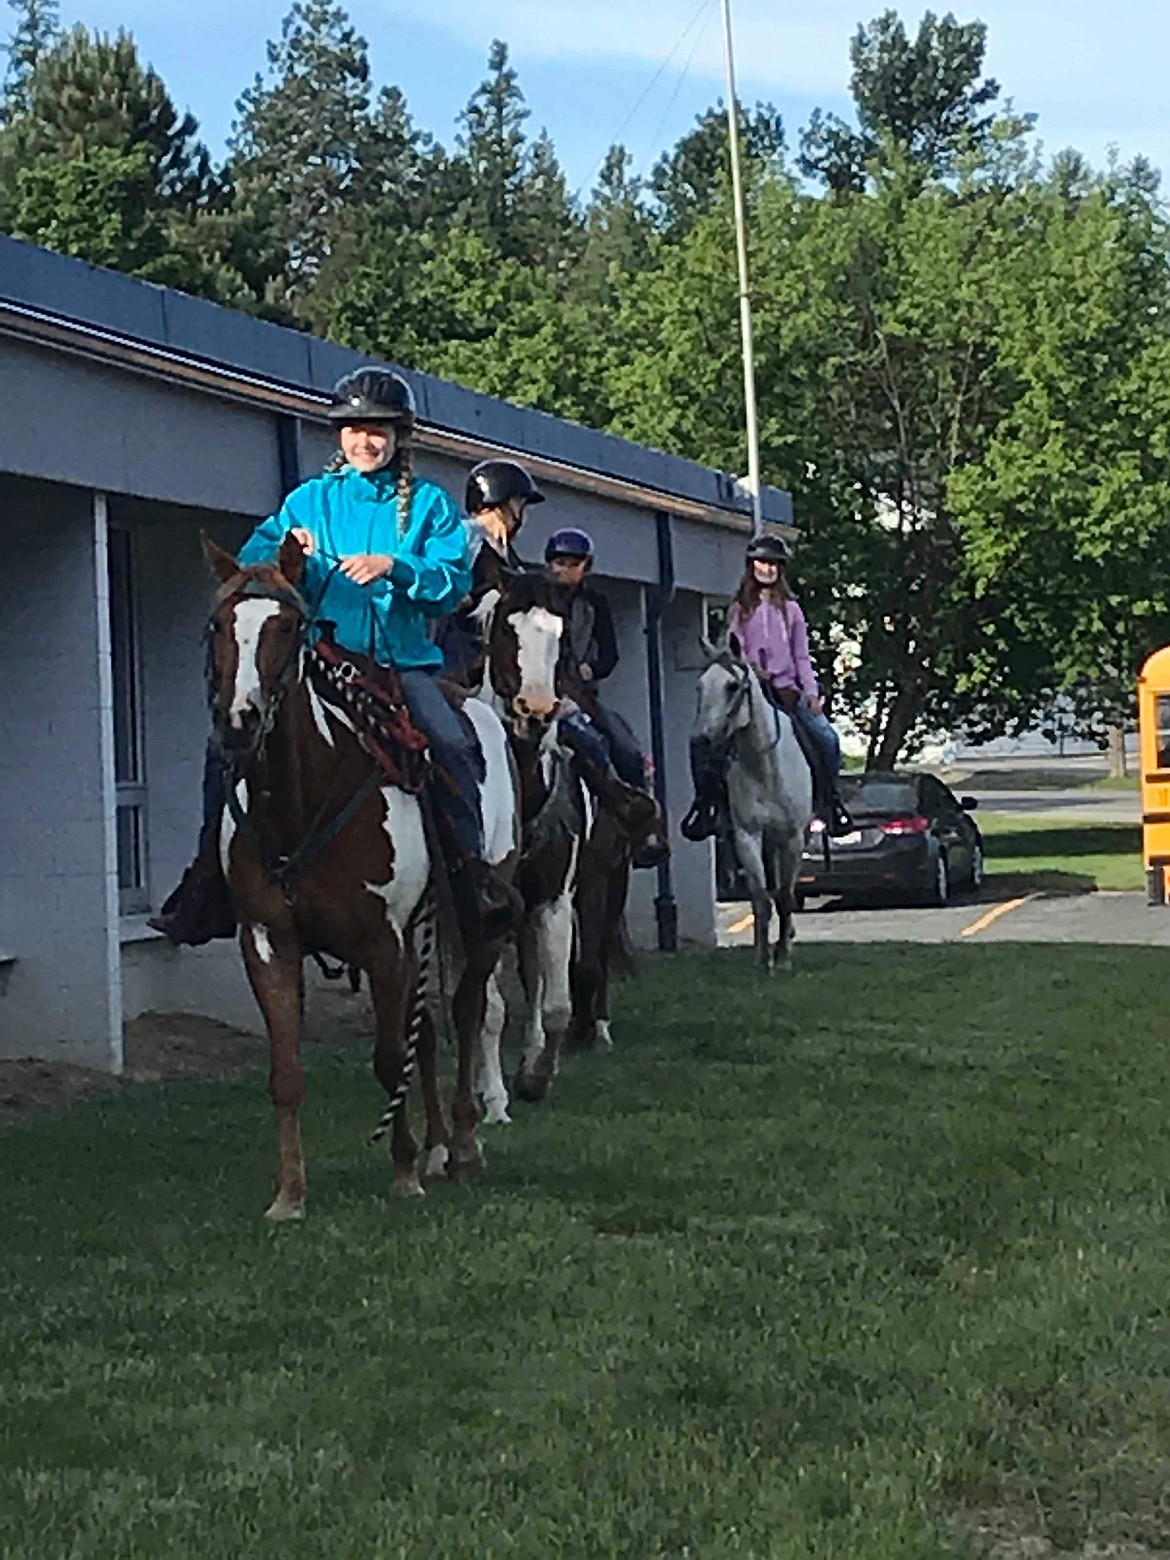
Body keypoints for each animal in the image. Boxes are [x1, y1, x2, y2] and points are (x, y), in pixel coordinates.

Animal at [202, 536, 511, 1216]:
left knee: (467, 1009)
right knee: (431, 1030)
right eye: (218, 625)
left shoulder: (382, 942)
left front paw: (402, 1171)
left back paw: (465, 1144)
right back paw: (441, 1147)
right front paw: (290, 1194)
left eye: (287, 626)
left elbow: (390, 1056)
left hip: (476, 922)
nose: (240, 720)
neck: (300, 805)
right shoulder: (268, 942)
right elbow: (287, 1071)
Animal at [695, 648, 817, 967]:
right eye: (700, 686)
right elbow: (762, 898)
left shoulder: (793, 838)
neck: (765, 768)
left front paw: (783, 956)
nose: (701, 739)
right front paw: (764, 957)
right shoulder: (747, 837)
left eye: (732, 686)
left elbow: (785, 896)